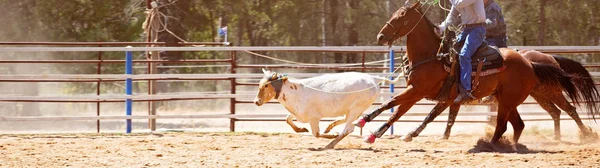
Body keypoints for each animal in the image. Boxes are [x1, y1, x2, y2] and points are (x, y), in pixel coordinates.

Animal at [254, 69, 398, 149]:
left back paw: (330, 143)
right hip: (356, 109)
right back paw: (330, 126)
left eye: (266, 86)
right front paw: (301, 129)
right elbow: (288, 119)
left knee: (348, 128)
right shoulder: (299, 114)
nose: (256, 101)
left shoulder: (313, 118)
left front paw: (331, 135)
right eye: (260, 84)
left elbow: (316, 134)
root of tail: (372, 78)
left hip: (357, 107)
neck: (295, 91)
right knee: (349, 120)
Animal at [356, 1, 580, 146]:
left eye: (402, 18)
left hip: (518, 99)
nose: (381, 37)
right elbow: (397, 111)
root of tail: (530, 63)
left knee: (509, 124)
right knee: (520, 124)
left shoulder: (417, 91)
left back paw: (490, 145)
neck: (433, 56)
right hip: (510, 99)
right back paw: (511, 145)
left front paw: (364, 123)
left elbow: (392, 104)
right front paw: (374, 133)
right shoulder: (418, 93)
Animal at [404, 49, 600, 142]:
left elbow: (439, 115)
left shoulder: (453, 98)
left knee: (570, 109)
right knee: (556, 112)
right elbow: (448, 116)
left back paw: (586, 134)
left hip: (551, 92)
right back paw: (557, 137)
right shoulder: (454, 99)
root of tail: (549, 58)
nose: (406, 65)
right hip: (540, 95)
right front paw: (443, 136)